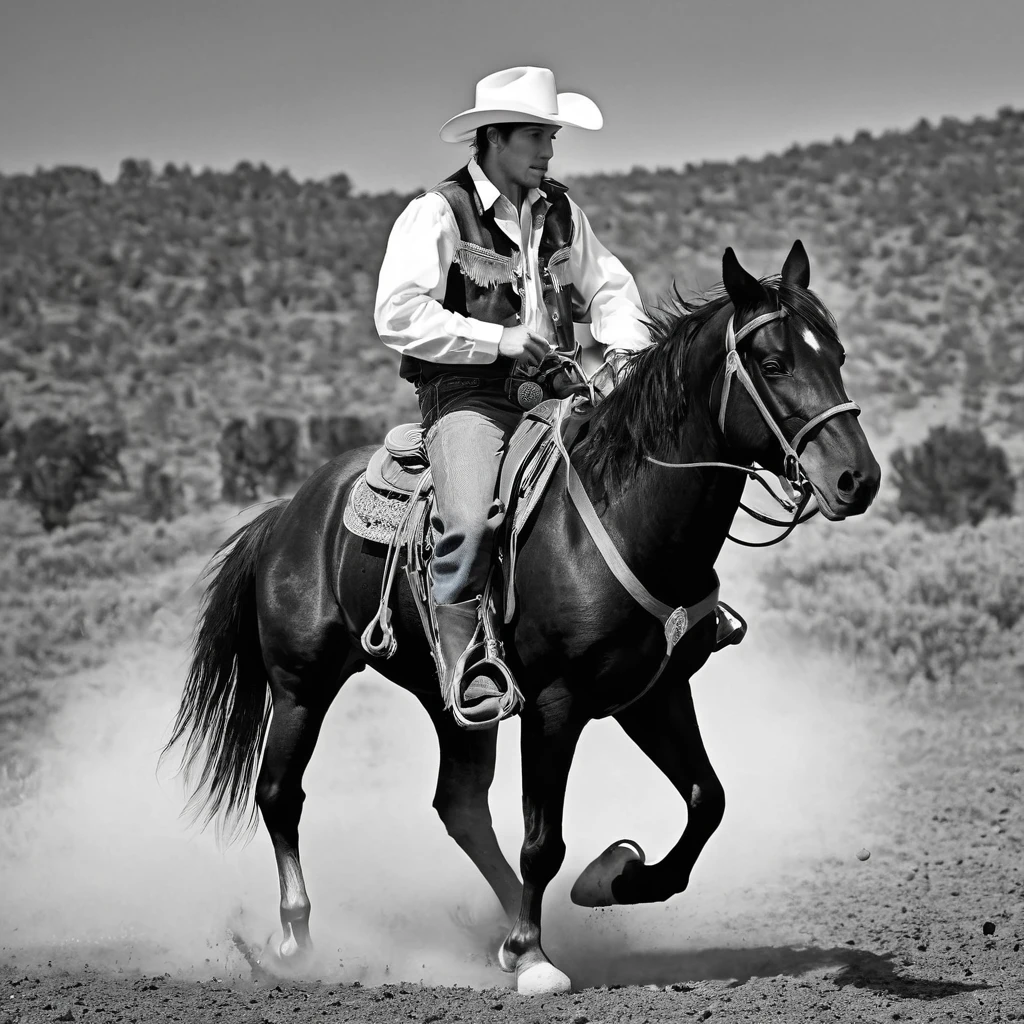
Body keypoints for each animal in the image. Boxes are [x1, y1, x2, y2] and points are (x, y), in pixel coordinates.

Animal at [161, 239, 880, 991]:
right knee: (281, 793)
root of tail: (287, 512)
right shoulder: (555, 704)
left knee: (459, 806)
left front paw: (613, 878)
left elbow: (705, 800)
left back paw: (502, 931)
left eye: (836, 354)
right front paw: (537, 957)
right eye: (773, 363)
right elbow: (544, 840)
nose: (857, 479)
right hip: (301, 683)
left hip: (451, 699)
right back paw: (297, 939)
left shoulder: (654, 693)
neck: (626, 515)